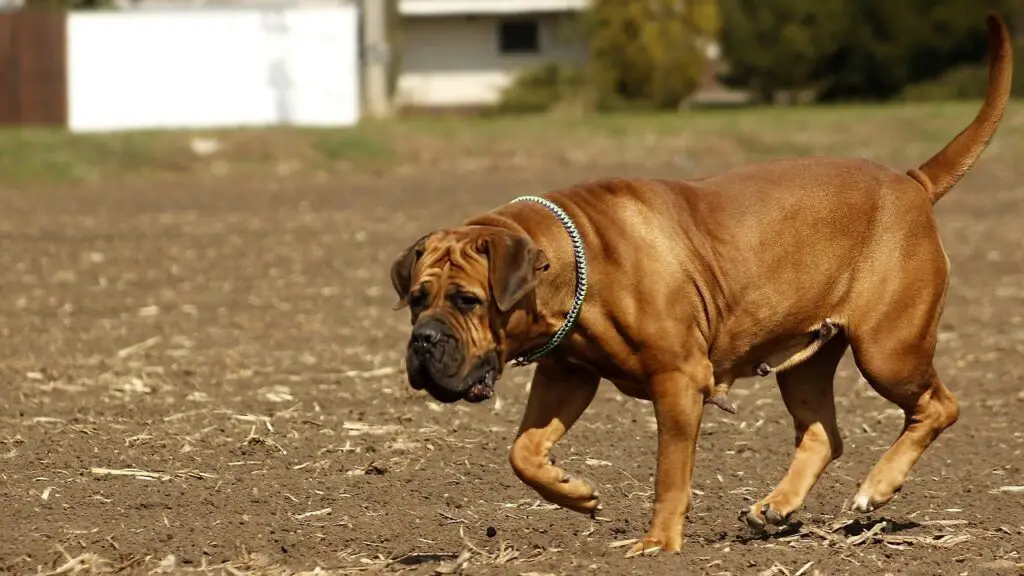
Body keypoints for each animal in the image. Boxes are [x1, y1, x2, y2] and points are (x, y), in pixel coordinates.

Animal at [387, 13, 1011, 553]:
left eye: (468, 300)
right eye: (416, 299)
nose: (423, 340)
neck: (573, 263)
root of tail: (912, 183)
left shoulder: (678, 381)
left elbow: (669, 472)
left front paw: (658, 543)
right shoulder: (568, 374)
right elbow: (524, 450)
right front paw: (576, 493)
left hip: (888, 350)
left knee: (939, 406)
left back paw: (876, 488)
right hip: (808, 363)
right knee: (823, 434)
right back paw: (776, 506)